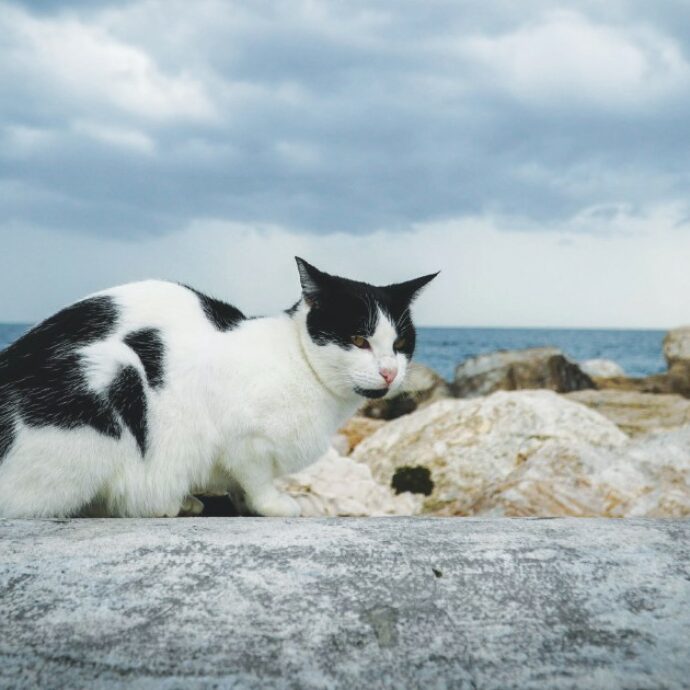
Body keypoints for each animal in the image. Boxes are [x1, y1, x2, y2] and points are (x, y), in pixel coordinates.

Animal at [0, 260, 436, 516]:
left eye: (400, 344)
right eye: (359, 340)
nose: (389, 373)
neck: (298, 360)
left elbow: (240, 487)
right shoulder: (246, 442)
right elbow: (257, 480)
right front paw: (275, 506)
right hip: (113, 380)